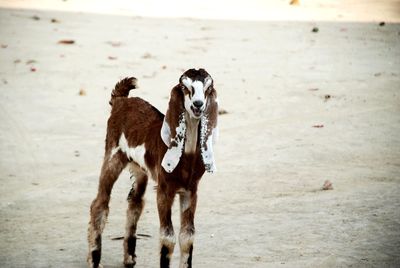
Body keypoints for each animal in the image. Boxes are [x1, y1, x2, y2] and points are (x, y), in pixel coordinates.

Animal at [87, 68, 219, 266]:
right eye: (184, 87)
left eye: (208, 88)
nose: (198, 104)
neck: (187, 157)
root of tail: (120, 100)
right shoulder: (164, 189)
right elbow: (168, 237)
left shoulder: (190, 191)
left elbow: (187, 236)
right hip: (113, 156)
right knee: (99, 204)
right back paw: (95, 261)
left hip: (139, 168)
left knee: (135, 202)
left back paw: (129, 257)